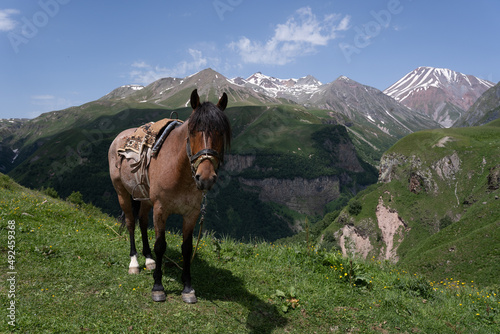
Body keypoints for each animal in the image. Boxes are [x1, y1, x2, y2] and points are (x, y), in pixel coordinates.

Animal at [108, 90, 231, 304]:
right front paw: (158, 287)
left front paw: (188, 288)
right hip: (122, 193)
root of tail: (118, 138)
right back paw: (135, 263)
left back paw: (148, 259)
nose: (205, 178)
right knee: (131, 223)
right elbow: (160, 245)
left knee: (142, 221)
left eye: (221, 133)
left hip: (144, 198)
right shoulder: (161, 209)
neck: (178, 169)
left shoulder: (191, 214)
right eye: (192, 132)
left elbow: (187, 248)